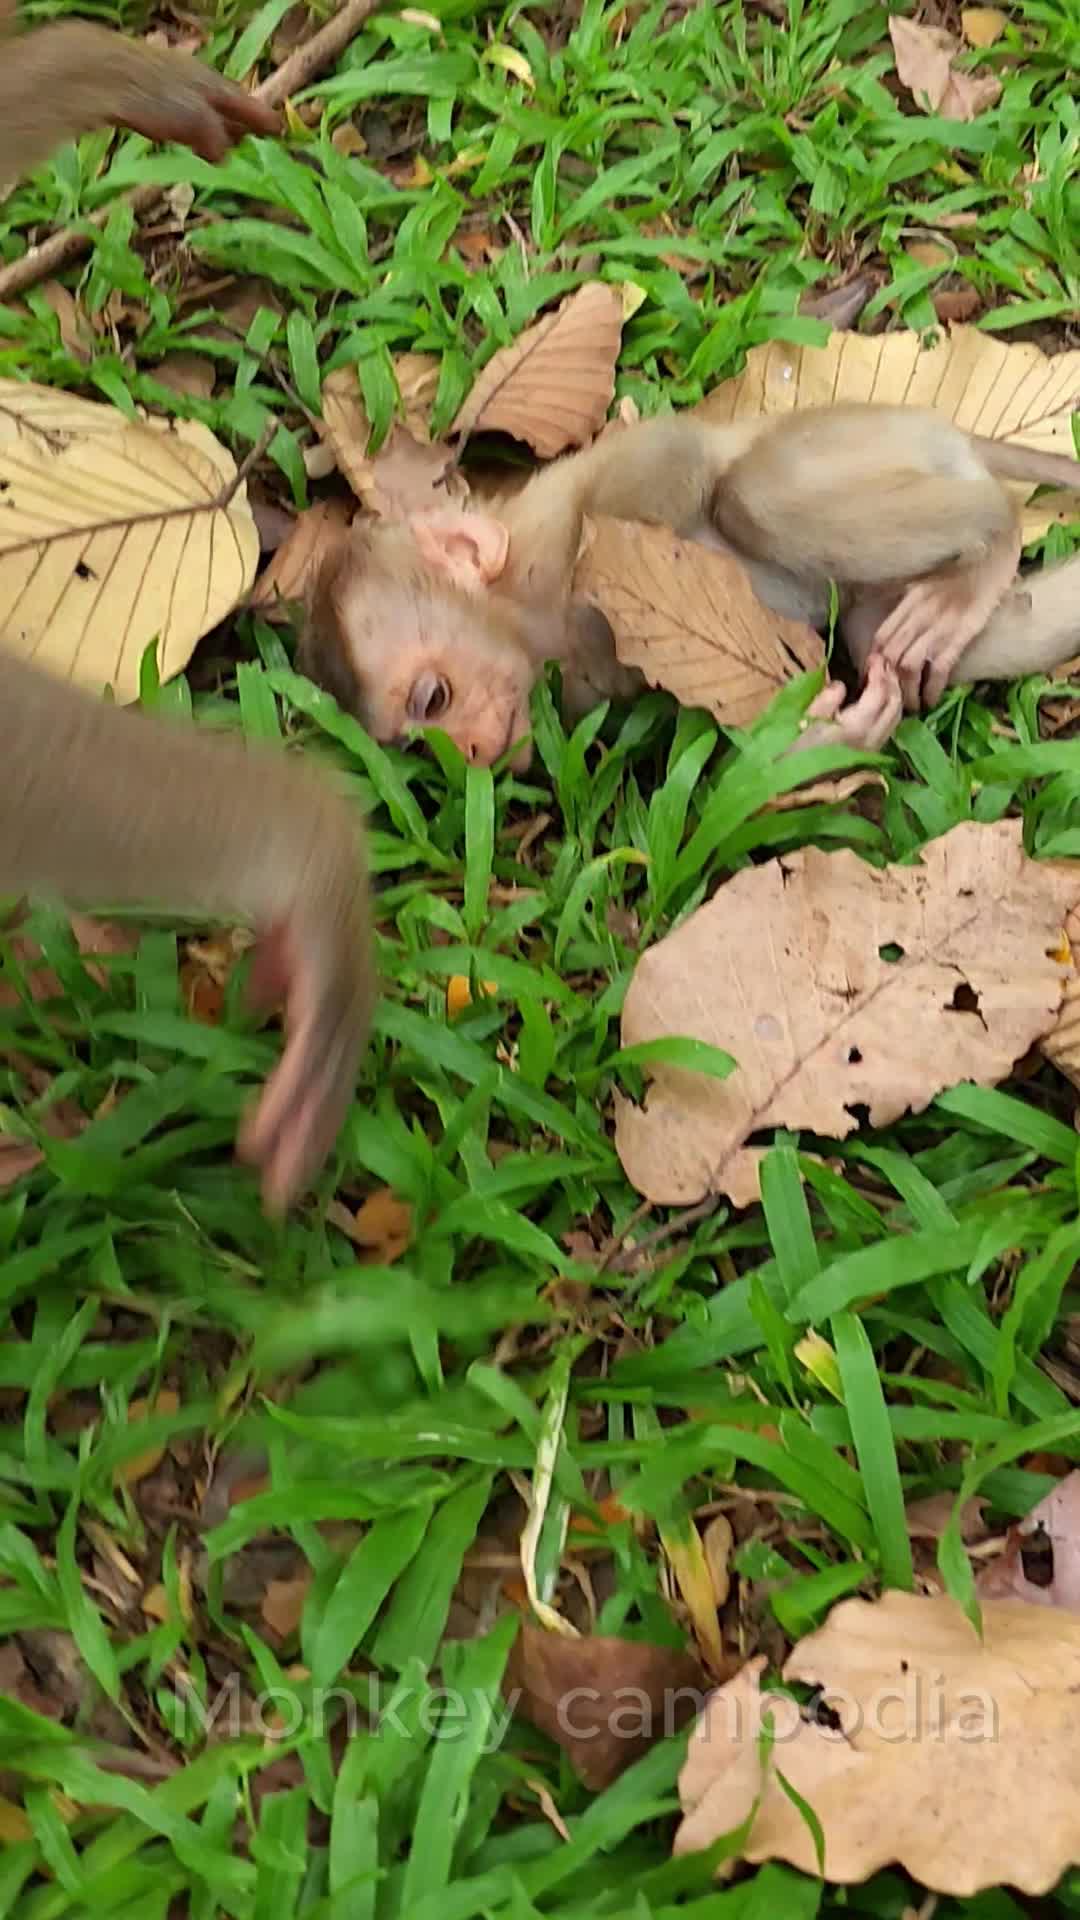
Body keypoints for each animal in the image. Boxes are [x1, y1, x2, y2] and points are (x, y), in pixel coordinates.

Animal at [299, 405, 1080, 767]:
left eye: (433, 699)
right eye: (414, 744)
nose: (465, 752)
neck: (526, 613)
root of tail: (943, 430)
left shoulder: (550, 543)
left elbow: (667, 459)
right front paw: (833, 735)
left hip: (859, 442)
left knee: (748, 500)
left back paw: (995, 531)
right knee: (869, 630)